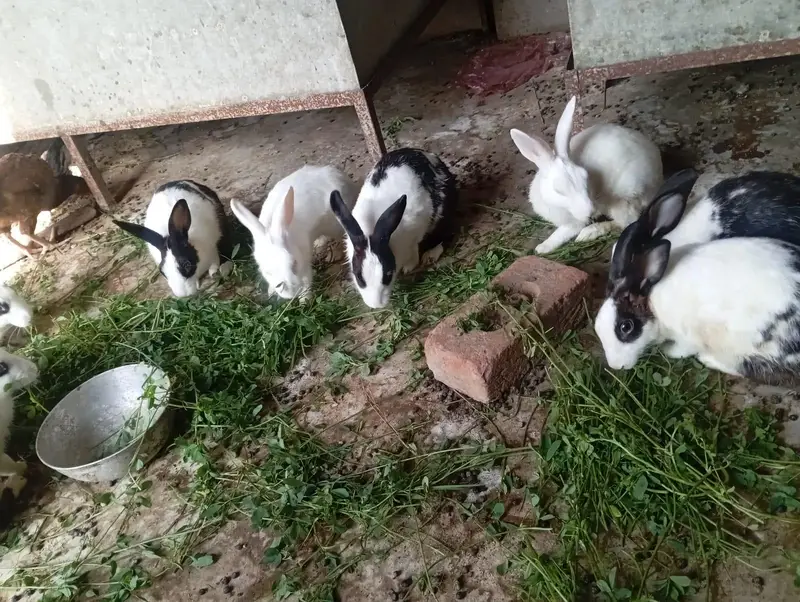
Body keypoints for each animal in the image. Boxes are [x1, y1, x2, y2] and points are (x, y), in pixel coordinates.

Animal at [230, 166, 358, 300]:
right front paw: (271, 292)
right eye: (267, 272)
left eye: (294, 263)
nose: (290, 294)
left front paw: (304, 300)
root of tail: (339, 174)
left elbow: (307, 279)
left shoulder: (304, 260)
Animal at [330, 148, 458, 309]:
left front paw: (409, 266)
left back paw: (430, 255)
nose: (376, 305)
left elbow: (414, 250)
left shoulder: (416, 231)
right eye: (359, 277)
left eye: (388, 275)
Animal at [510, 96, 663, 254]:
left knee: (628, 223)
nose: (590, 212)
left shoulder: (575, 221)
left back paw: (589, 233)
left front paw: (542, 248)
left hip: (622, 200)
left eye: (585, 177)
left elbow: (562, 233)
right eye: (558, 190)